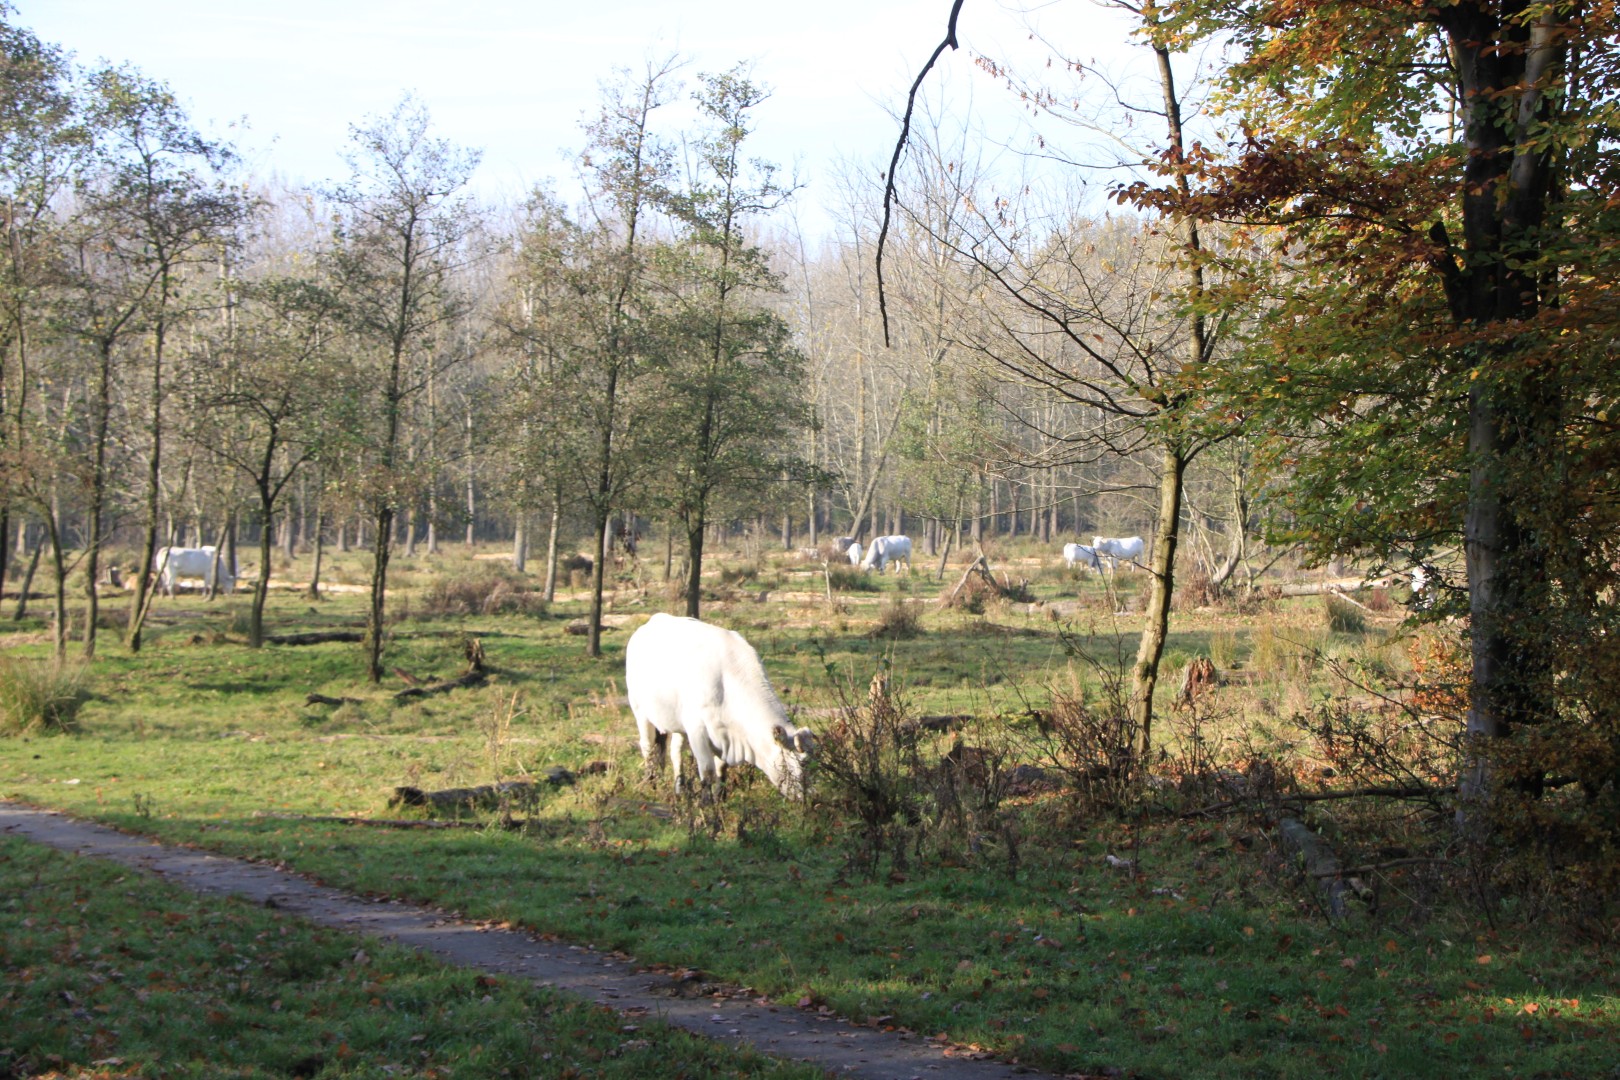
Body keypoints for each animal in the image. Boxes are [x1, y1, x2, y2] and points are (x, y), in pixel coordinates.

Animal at [625, 613, 815, 800]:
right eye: (797, 764)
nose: (809, 797)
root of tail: (653, 620)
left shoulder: (724, 735)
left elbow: (721, 768)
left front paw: (720, 797)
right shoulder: (697, 730)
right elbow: (707, 769)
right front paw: (706, 801)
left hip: (678, 722)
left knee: (675, 752)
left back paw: (680, 790)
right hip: (640, 711)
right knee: (648, 747)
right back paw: (651, 783)